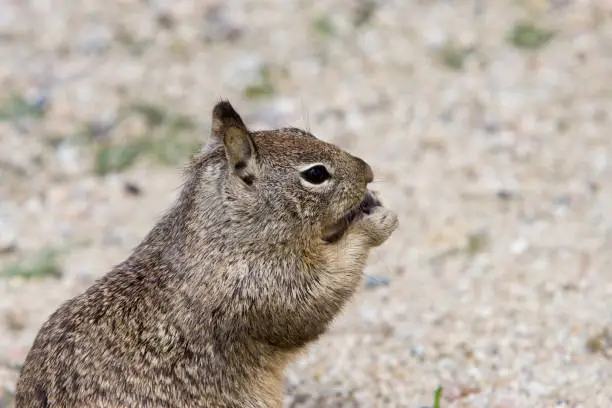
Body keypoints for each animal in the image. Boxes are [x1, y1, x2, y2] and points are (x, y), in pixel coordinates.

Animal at [16, 101, 400, 408]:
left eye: (299, 130)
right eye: (316, 173)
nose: (368, 171)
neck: (219, 234)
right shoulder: (264, 290)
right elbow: (321, 296)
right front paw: (374, 223)